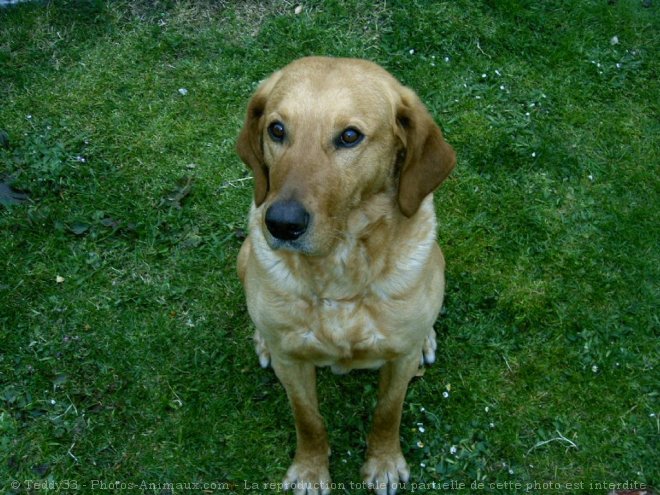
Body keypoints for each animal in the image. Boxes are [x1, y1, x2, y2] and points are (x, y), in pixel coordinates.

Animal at [235, 59, 456, 495]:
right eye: (277, 129)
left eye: (350, 136)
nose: (282, 223)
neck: (340, 272)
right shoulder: (292, 362)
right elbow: (308, 420)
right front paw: (310, 470)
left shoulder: (399, 360)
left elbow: (388, 412)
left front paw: (384, 462)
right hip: (243, 256)